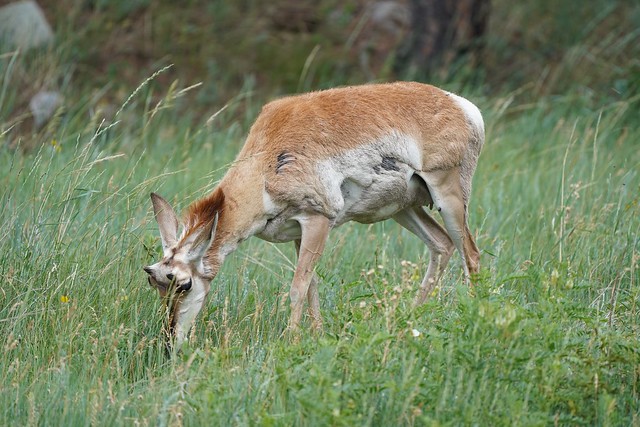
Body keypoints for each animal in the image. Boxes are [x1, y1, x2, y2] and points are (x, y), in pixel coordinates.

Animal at [143, 81, 484, 349]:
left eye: (184, 284)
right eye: (155, 283)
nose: (170, 341)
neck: (265, 165)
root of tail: (459, 104)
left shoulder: (317, 220)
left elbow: (297, 288)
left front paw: (290, 342)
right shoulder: (298, 232)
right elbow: (312, 288)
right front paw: (318, 336)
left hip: (448, 196)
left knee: (471, 253)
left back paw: (471, 315)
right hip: (404, 209)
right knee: (442, 245)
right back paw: (409, 320)